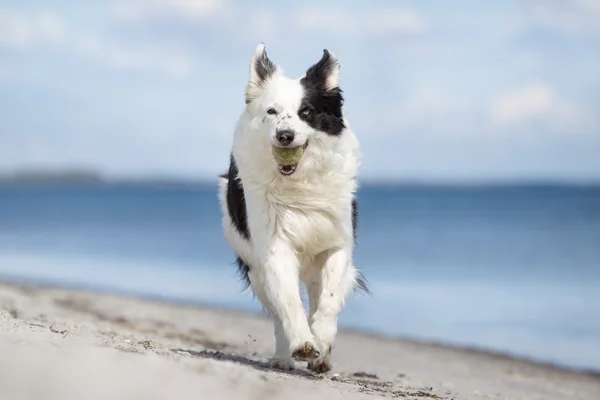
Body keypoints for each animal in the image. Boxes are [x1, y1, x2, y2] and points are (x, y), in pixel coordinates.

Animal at [218, 43, 368, 372]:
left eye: (306, 112)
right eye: (271, 112)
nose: (284, 135)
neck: (300, 185)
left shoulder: (337, 242)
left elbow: (329, 298)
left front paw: (321, 339)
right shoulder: (274, 247)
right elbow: (288, 302)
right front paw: (303, 343)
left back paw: (322, 358)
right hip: (255, 269)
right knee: (277, 313)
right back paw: (283, 358)